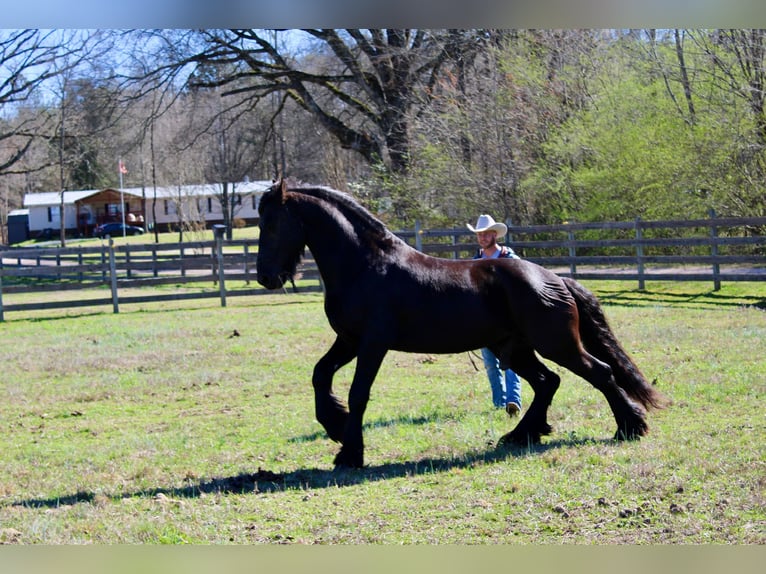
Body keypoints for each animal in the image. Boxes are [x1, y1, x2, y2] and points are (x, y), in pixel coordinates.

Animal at [256, 180, 664, 468]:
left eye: (272, 223)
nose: (265, 277)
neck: (366, 265)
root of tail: (554, 278)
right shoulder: (349, 340)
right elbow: (319, 374)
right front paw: (335, 426)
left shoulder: (372, 343)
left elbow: (359, 393)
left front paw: (349, 454)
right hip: (513, 348)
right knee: (548, 382)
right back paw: (521, 435)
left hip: (556, 343)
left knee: (600, 372)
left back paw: (629, 427)